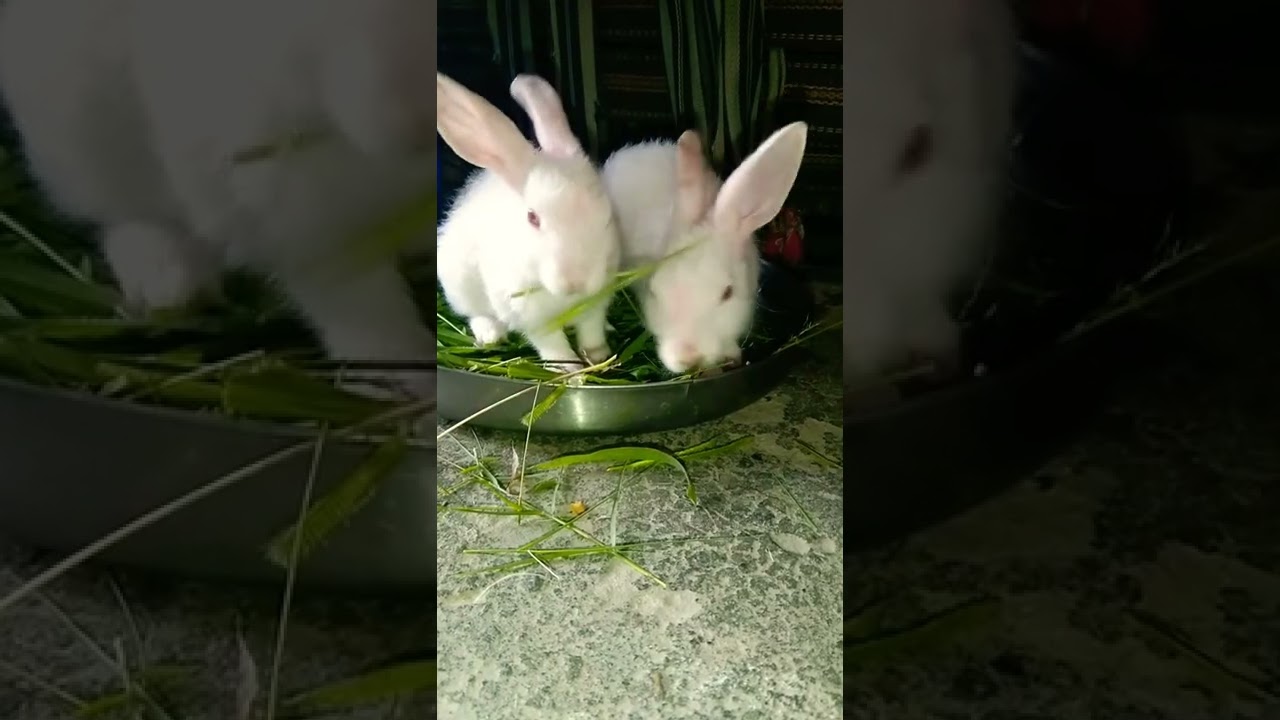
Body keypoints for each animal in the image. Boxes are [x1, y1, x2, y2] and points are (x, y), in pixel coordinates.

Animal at [0, 0, 438, 396]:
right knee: (124, 213)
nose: (415, 120)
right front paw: (408, 387)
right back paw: (170, 288)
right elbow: (360, 303)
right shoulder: (294, 214)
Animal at [435, 72, 621, 373]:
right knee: (476, 313)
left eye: (607, 215)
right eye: (532, 218)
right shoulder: (533, 319)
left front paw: (599, 357)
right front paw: (570, 371)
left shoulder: (595, 304)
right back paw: (490, 335)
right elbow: (553, 346)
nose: (576, 282)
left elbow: (591, 332)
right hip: (459, 284)